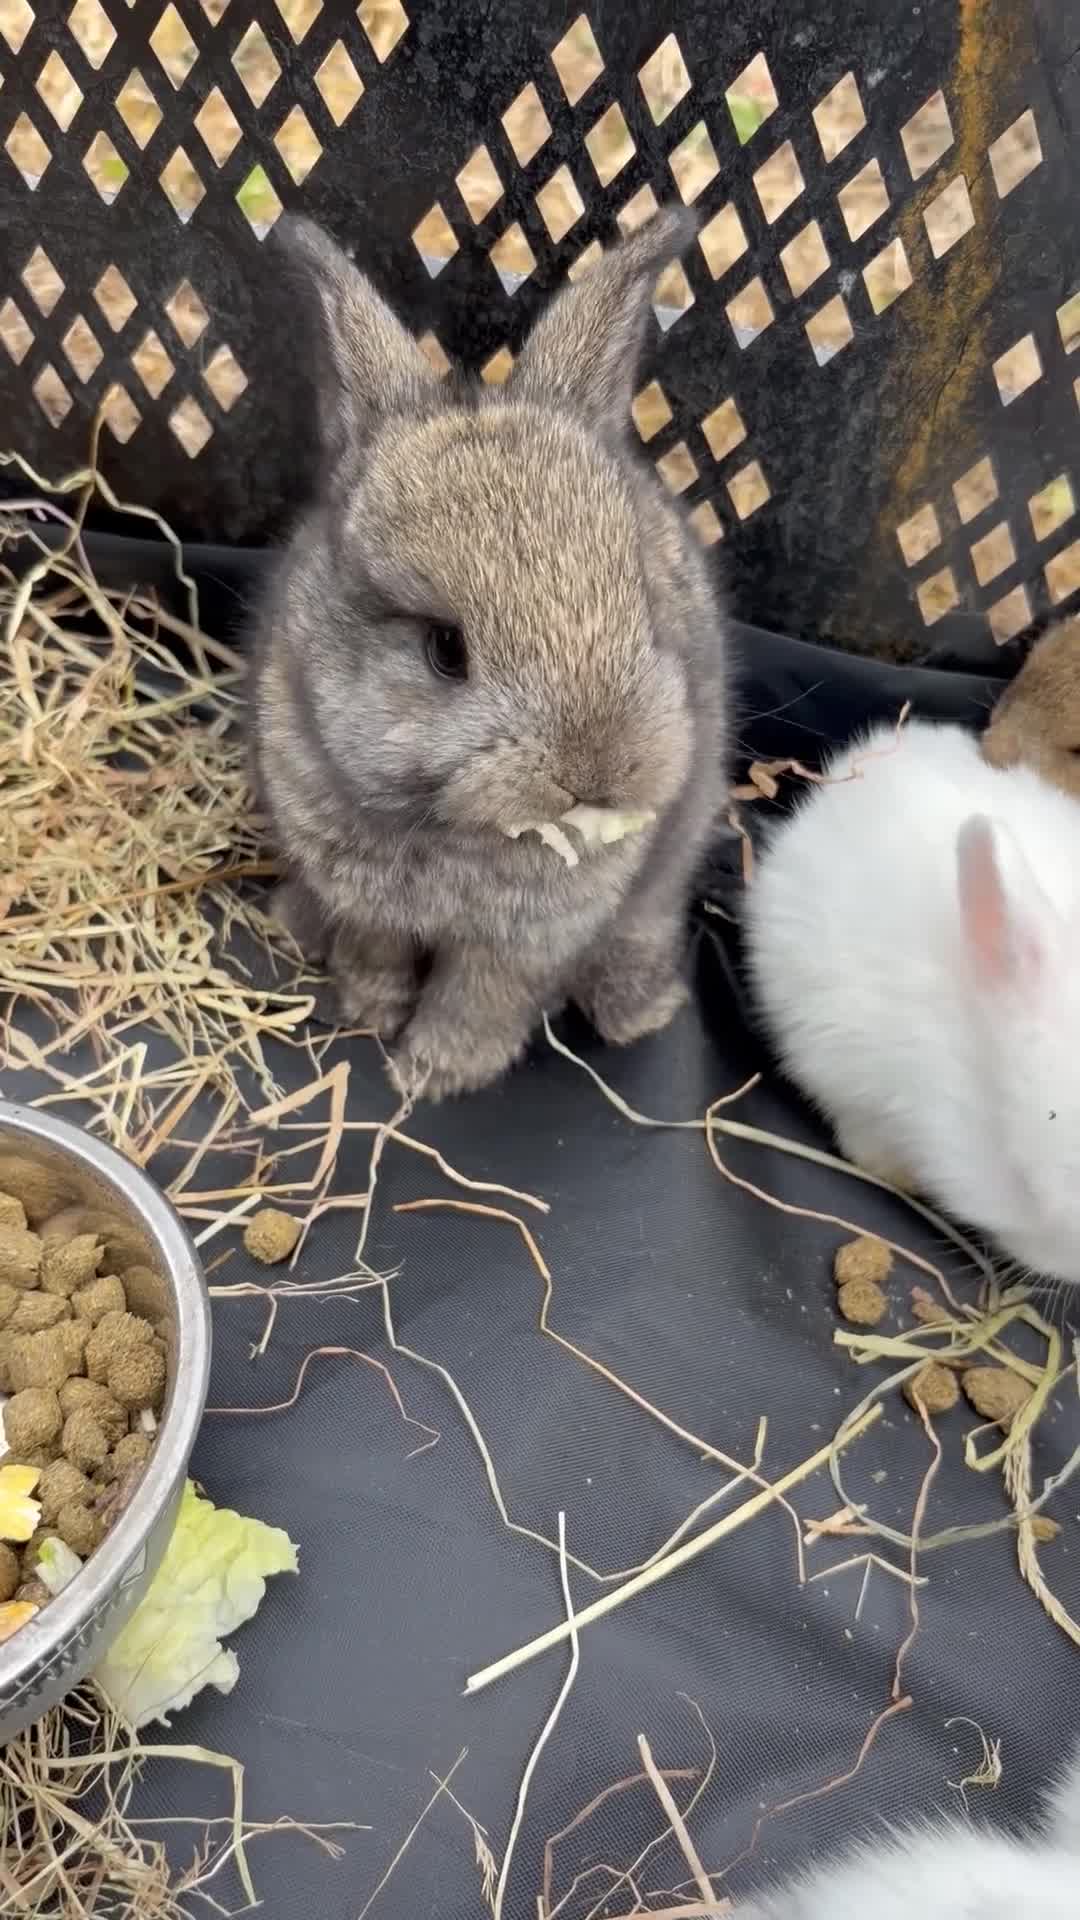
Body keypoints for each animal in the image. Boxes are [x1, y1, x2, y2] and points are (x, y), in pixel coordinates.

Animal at [250, 209, 728, 1100]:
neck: (452, 829)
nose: (593, 775)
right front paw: (370, 1016)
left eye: (642, 605)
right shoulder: (367, 907)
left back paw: (640, 1014)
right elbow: (376, 956)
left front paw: (430, 1074)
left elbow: (480, 1000)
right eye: (446, 649)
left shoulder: (522, 945)